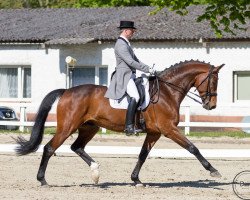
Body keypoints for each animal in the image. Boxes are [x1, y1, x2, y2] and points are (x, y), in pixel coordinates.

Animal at [15, 59, 225, 186]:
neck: (167, 92)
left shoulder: (154, 132)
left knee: (77, 147)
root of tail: (67, 91)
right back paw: (42, 180)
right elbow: (192, 148)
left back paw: (95, 172)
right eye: (213, 81)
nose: (212, 105)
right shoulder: (168, 129)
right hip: (67, 127)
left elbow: (142, 155)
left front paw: (136, 180)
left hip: (89, 127)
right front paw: (213, 171)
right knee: (50, 148)